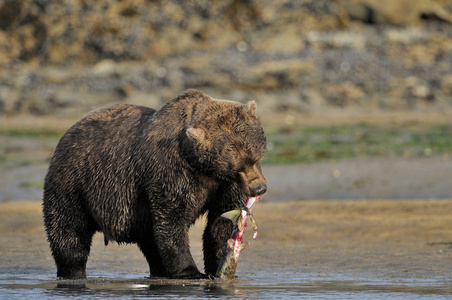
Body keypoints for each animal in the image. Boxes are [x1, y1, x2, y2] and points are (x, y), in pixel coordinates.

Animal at [41, 88, 268, 278]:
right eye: (239, 165)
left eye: (256, 157)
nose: (259, 188)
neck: (204, 169)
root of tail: (67, 133)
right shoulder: (173, 169)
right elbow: (172, 219)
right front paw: (191, 271)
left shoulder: (224, 185)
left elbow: (220, 222)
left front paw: (218, 266)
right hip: (74, 182)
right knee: (69, 231)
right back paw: (72, 271)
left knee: (150, 241)